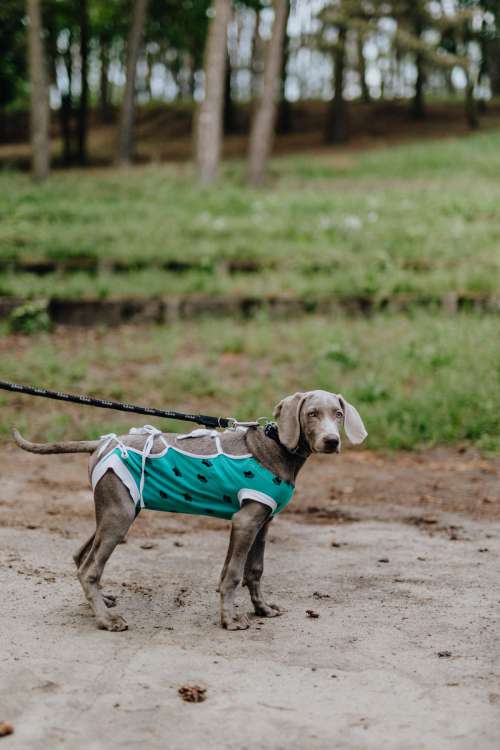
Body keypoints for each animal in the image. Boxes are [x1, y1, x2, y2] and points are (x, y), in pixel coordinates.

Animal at [13, 394, 366, 636]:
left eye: (338, 414)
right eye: (311, 413)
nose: (332, 441)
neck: (278, 448)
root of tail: (101, 444)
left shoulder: (263, 523)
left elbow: (254, 571)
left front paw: (262, 609)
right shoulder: (245, 522)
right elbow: (233, 574)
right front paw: (230, 619)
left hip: (117, 510)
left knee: (80, 557)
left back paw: (101, 603)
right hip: (118, 516)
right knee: (89, 569)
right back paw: (106, 620)